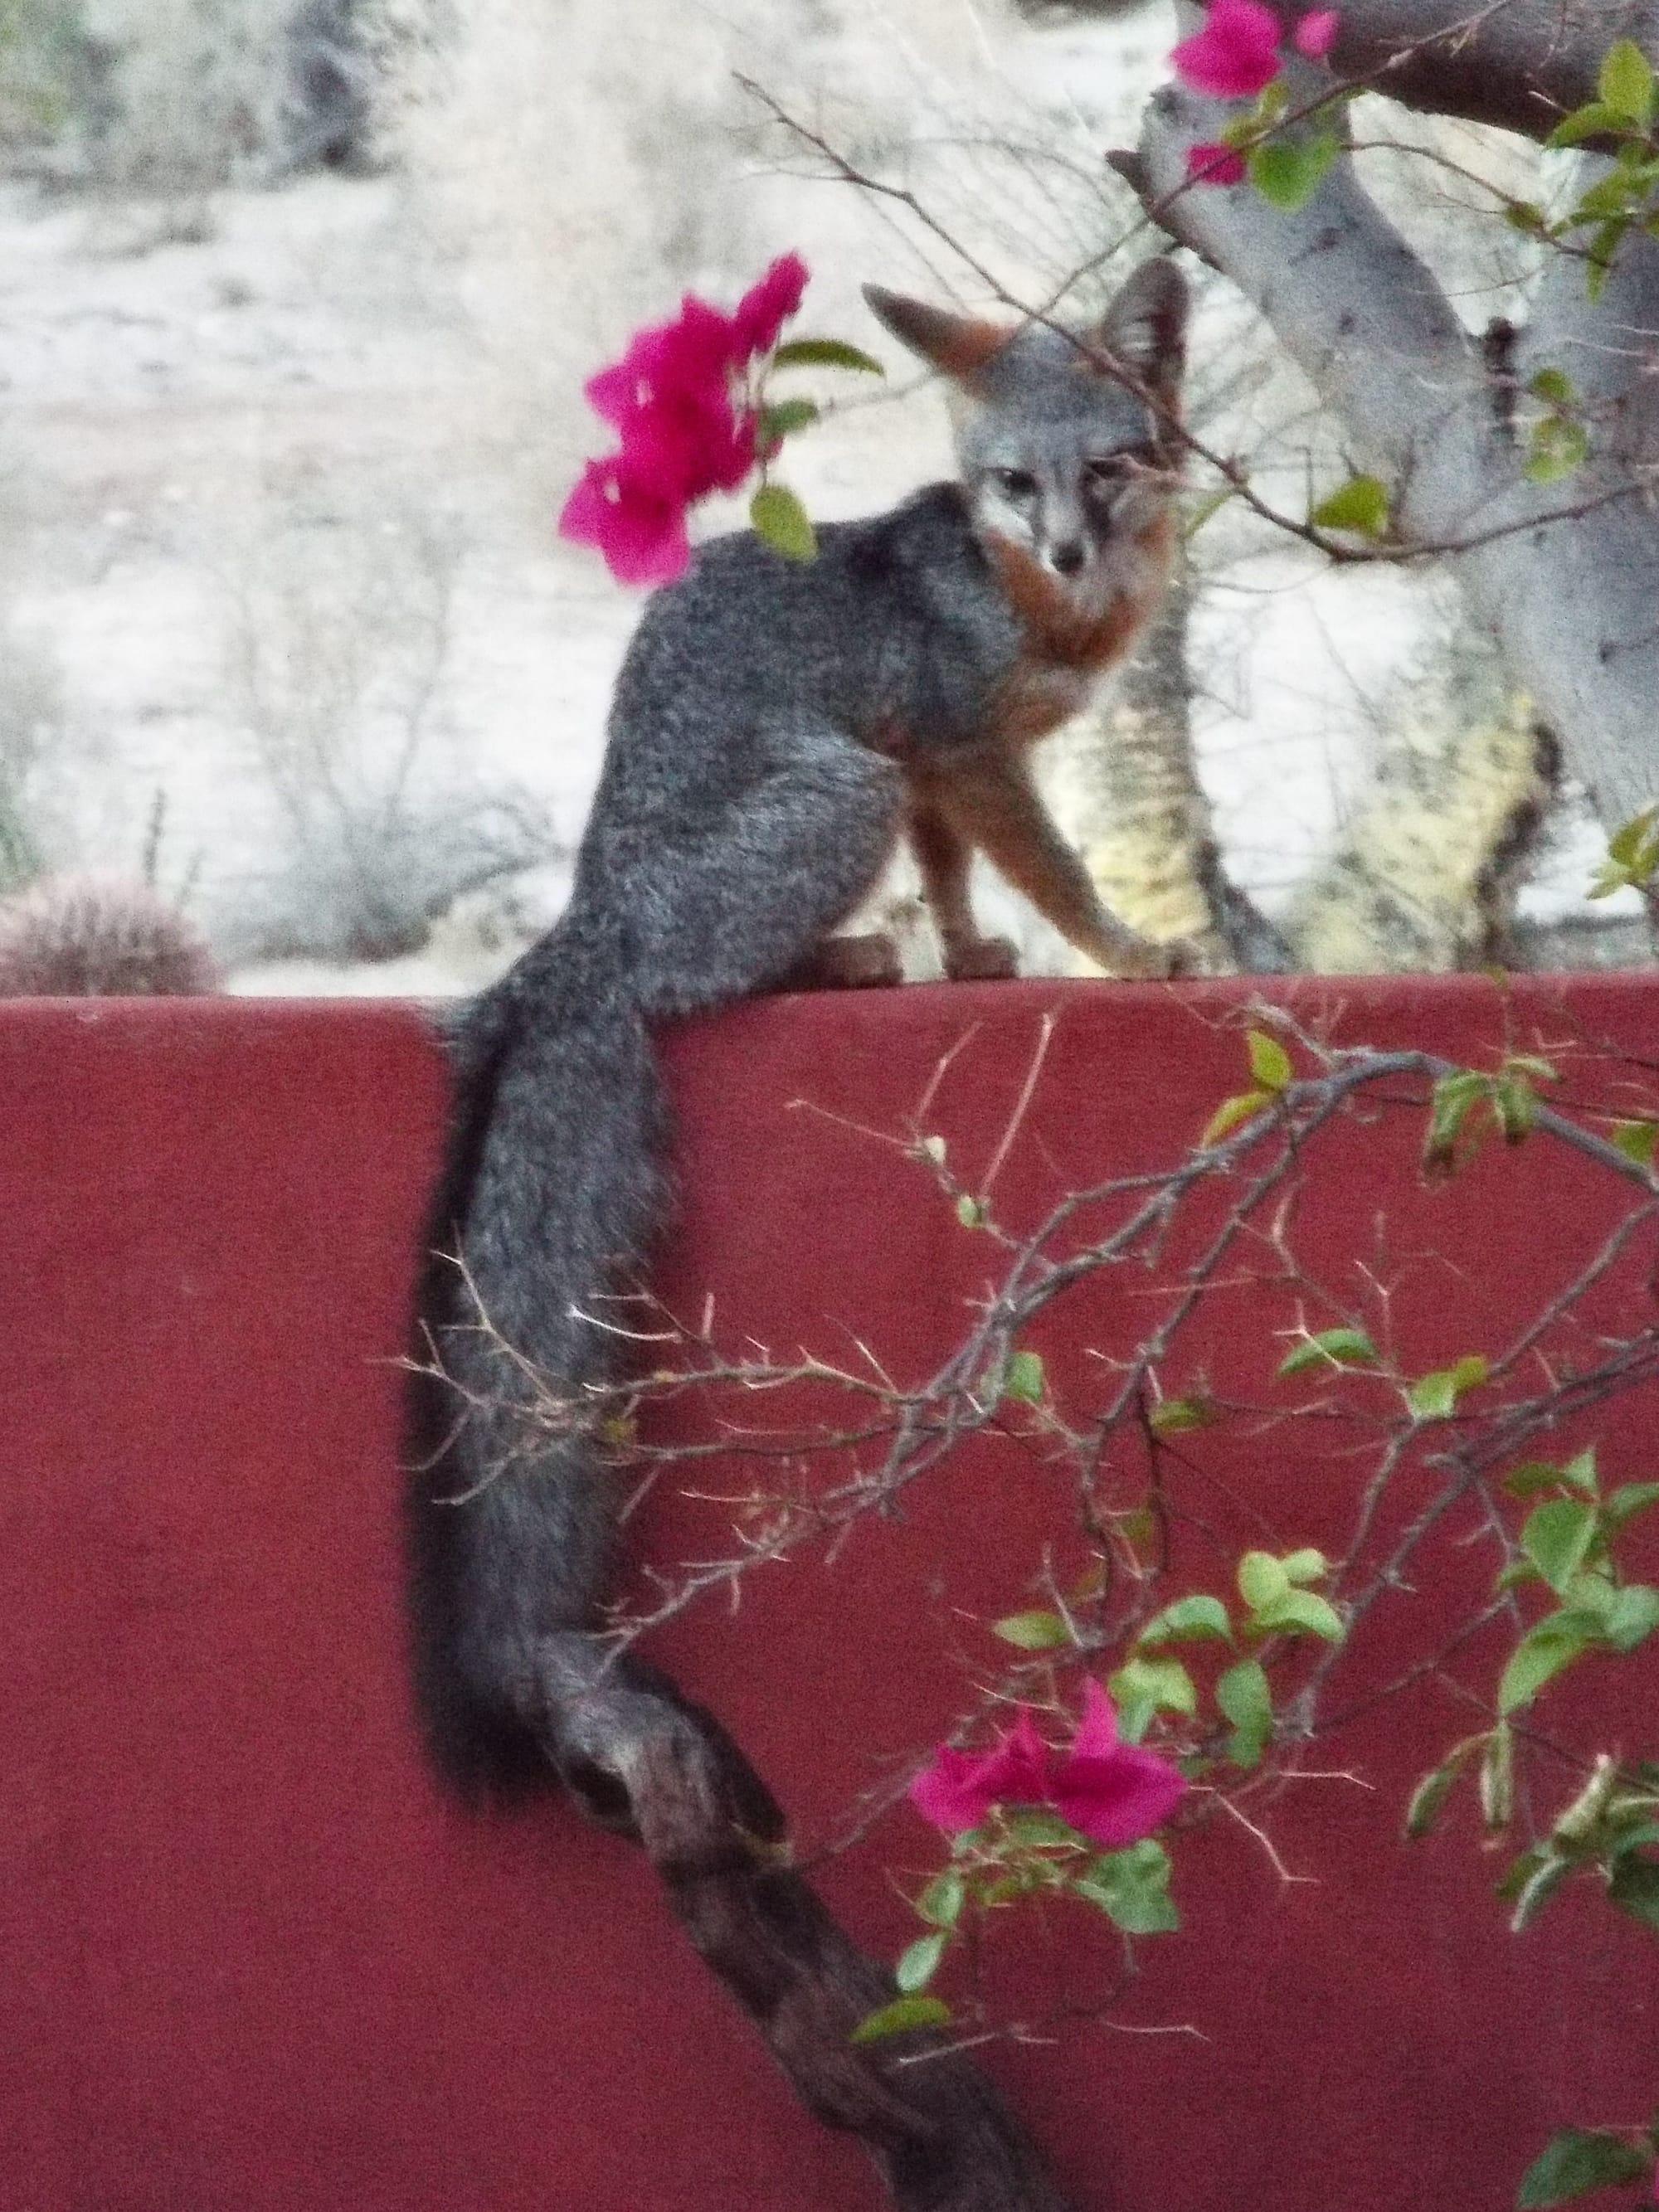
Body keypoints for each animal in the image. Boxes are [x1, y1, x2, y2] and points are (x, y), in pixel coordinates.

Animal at [405, 257, 1191, 1814]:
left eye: (1104, 467)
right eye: (1016, 484)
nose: (1069, 550)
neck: (1033, 603)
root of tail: (584, 920)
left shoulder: (936, 772)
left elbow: (959, 879)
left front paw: (974, 955)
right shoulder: (951, 748)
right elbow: (1054, 866)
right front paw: (1124, 950)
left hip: (862, 784)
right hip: (844, 788)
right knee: (719, 984)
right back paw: (843, 956)